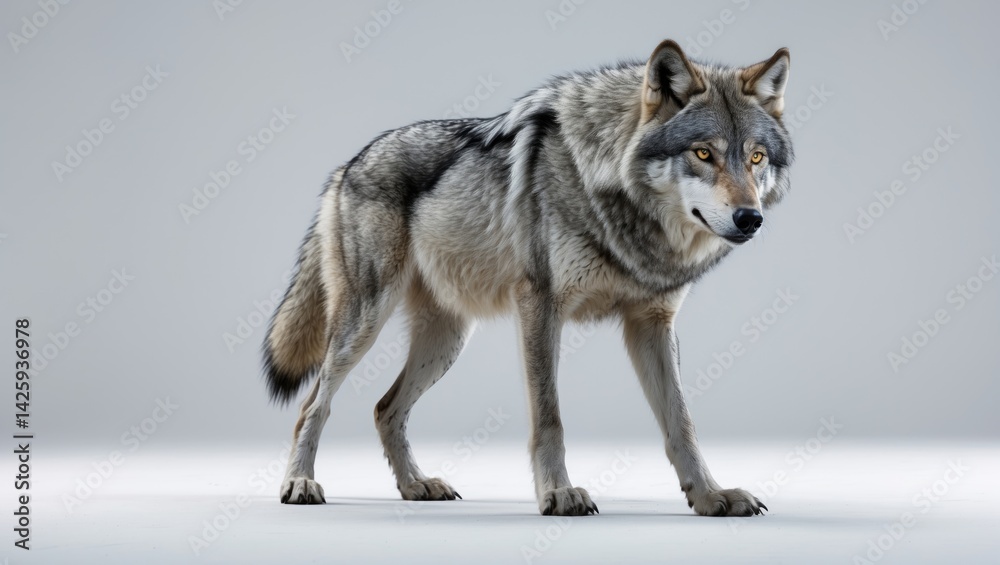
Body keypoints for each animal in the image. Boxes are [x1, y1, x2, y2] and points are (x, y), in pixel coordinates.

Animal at [263, 39, 793, 517]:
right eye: (703, 154)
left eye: (756, 158)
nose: (750, 218)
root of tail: (348, 164)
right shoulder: (540, 307)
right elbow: (549, 416)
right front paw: (559, 494)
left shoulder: (653, 323)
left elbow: (682, 423)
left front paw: (710, 496)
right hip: (364, 325)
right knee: (313, 405)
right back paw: (300, 484)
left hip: (447, 341)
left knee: (384, 408)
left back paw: (416, 486)